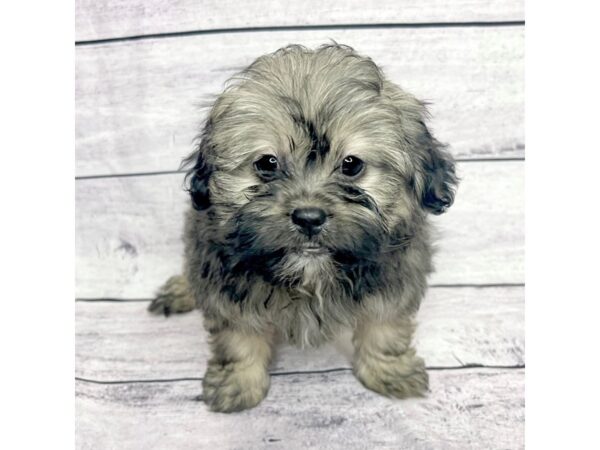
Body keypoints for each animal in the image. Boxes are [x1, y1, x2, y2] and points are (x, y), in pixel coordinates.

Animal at [148, 44, 458, 414]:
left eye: (351, 164)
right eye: (267, 163)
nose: (309, 217)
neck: (312, 275)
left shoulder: (393, 279)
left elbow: (385, 327)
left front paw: (390, 371)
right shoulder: (228, 286)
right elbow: (238, 339)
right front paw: (237, 384)